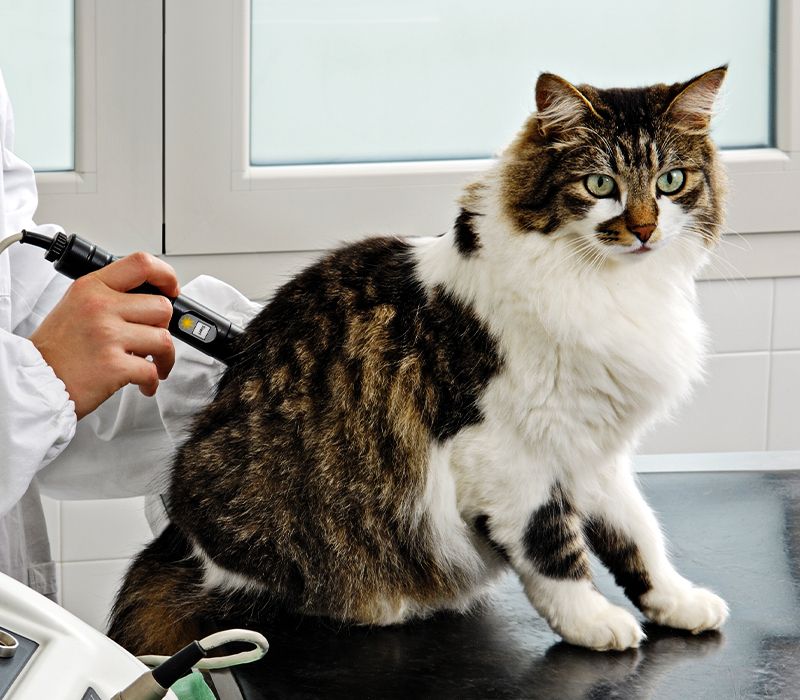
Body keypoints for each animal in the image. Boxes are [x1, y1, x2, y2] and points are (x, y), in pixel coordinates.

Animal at [109, 67, 728, 656]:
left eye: (671, 181)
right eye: (600, 184)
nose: (645, 229)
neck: (610, 288)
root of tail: (179, 541)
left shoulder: (596, 449)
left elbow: (638, 535)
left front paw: (677, 602)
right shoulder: (508, 456)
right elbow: (552, 549)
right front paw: (593, 622)